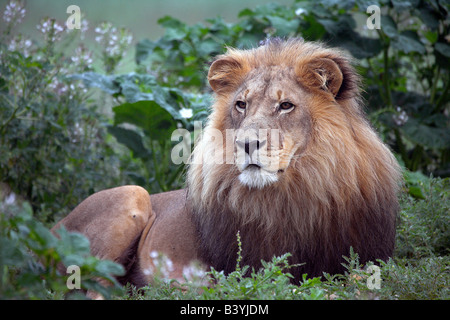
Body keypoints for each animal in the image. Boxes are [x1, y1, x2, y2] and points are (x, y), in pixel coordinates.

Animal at [51, 37, 400, 288]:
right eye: (241, 104)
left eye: (286, 105)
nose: (246, 144)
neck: (295, 195)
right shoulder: (244, 271)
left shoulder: (368, 258)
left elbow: (359, 279)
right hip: (131, 195)